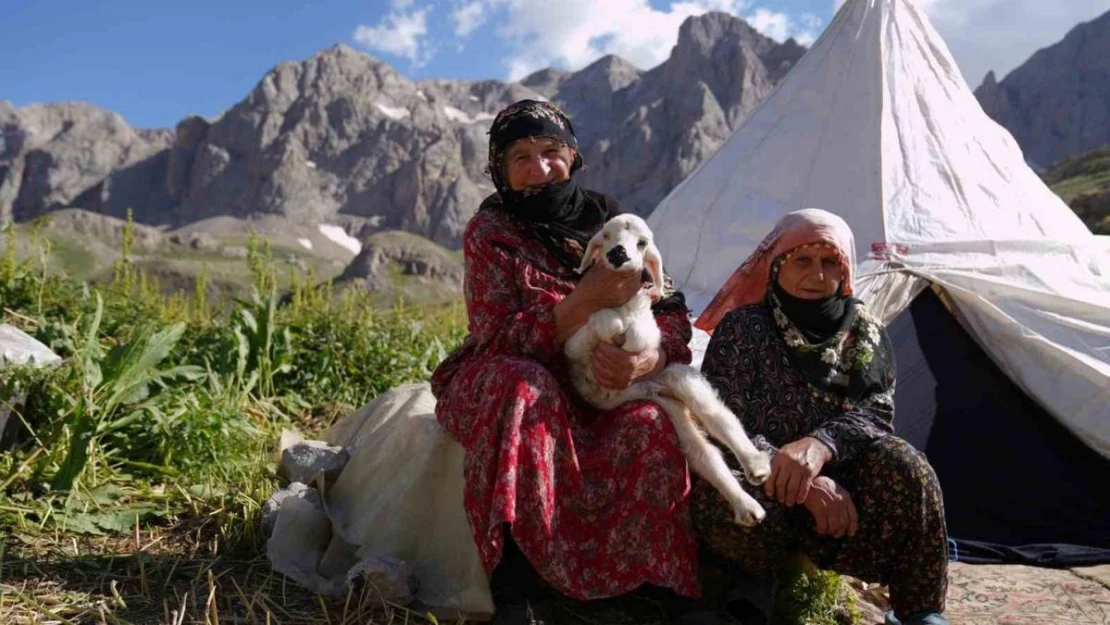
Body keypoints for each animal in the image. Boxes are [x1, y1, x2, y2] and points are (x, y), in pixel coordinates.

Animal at [568, 215, 768, 528]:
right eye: (607, 235)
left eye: (642, 243)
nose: (618, 254)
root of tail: (655, 389)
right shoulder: (572, 346)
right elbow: (599, 324)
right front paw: (612, 324)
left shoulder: (649, 333)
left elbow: (639, 335)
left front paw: (625, 332)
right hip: (668, 408)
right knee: (702, 453)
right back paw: (747, 507)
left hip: (677, 376)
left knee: (718, 417)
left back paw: (756, 467)